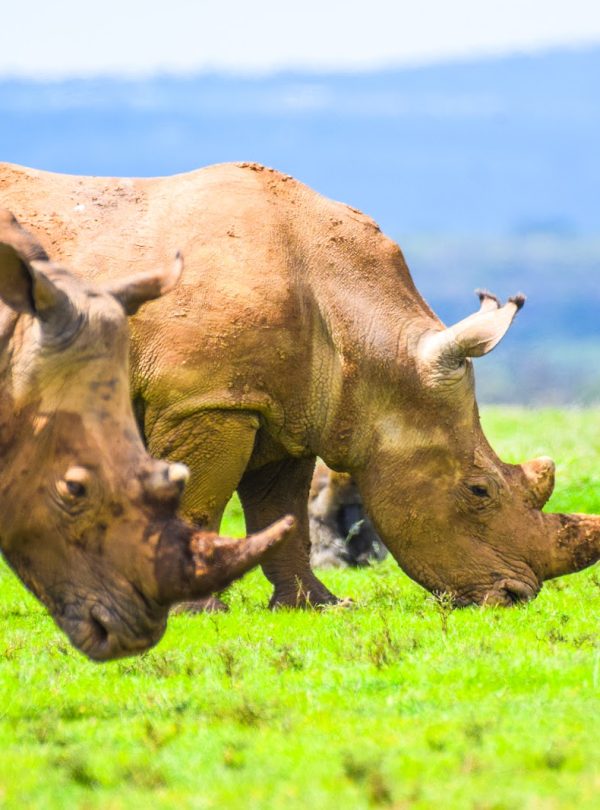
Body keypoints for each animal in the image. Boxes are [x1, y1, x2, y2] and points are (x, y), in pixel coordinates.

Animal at [1, 161, 598, 610]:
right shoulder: (206, 401)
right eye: (479, 492)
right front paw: (199, 609)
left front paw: (319, 606)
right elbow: (199, 501)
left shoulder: (286, 407)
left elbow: (282, 513)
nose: (515, 596)